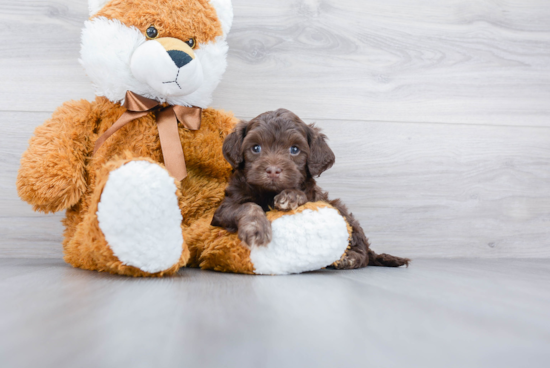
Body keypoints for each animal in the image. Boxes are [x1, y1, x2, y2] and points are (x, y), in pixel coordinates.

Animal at [211, 108, 410, 268]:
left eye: (294, 149)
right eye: (256, 148)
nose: (273, 170)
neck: (268, 193)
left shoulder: (313, 196)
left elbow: (301, 195)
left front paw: (290, 196)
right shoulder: (223, 209)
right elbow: (248, 206)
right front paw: (256, 228)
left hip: (343, 213)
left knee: (364, 251)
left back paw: (351, 258)